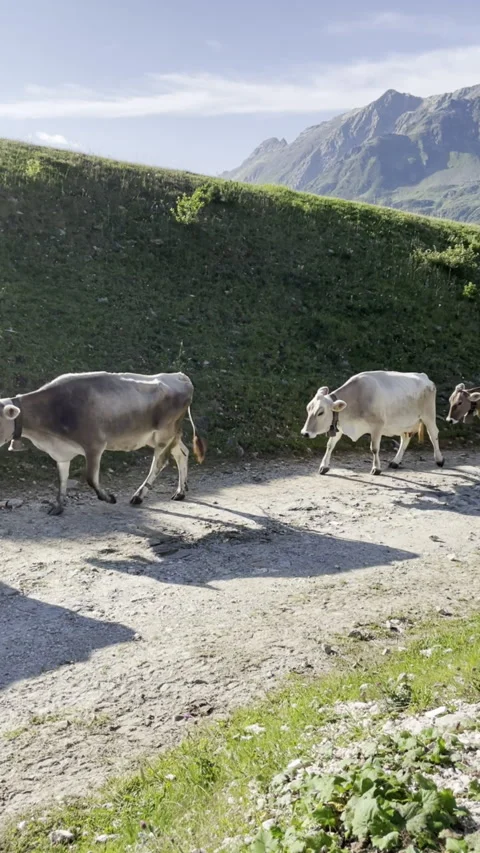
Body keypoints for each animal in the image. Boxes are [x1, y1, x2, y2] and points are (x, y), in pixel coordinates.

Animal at [0, 371, 206, 515]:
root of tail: (179, 375)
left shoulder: (94, 445)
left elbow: (91, 478)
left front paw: (109, 498)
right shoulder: (61, 452)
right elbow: (62, 479)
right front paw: (58, 506)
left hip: (164, 434)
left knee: (160, 463)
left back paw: (139, 496)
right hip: (167, 436)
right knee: (182, 453)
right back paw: (180, 491)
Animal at [301, 370, 444, 475]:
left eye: (320, 412)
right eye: (308, 409)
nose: (304, 433)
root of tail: (423, 376)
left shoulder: (377, 426)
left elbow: (374, 448)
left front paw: (376, 468)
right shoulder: (339, 426)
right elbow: (330, 445)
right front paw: (323, 466)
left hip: (428, 415)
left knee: (433, 434)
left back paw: (439, 459)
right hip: (402, 423)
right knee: (405, 438)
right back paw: (395, 461)